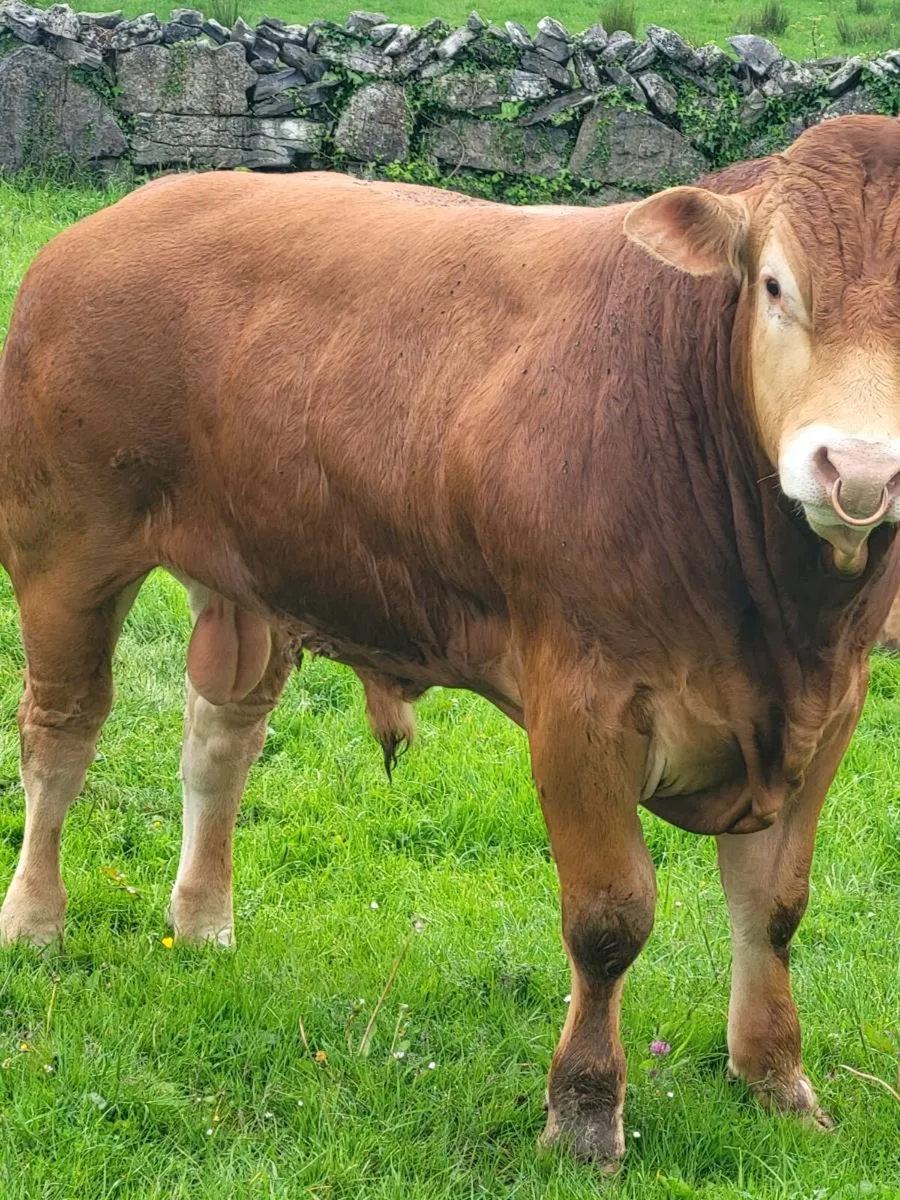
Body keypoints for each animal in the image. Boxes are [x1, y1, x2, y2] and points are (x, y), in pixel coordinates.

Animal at [1, 115, 899, 1170]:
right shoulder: (583, 702)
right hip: (65, 548)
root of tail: (113, 218)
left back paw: (204, 923)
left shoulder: (828, 707)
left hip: (251, 571)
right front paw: (585, 1112)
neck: (781, 623)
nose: (858, 468)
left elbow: (775, 907)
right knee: (61, 735)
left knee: (219, 741)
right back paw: (36, 923)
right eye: (774, 286)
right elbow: (609, 918)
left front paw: (775, 1080)